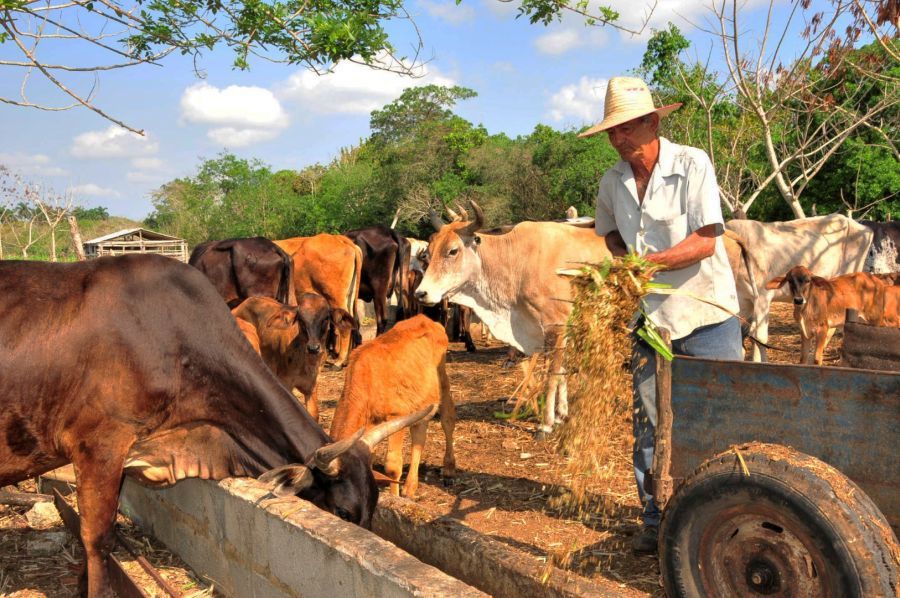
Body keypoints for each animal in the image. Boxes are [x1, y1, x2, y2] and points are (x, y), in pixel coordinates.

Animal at [416, 202, 612, 436]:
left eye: (453, 251)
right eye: (428, 252)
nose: (421, 293)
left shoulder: (556, 326)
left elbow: (552, 374)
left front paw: (546, 423)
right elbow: (562, 371)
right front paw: (561, 414)